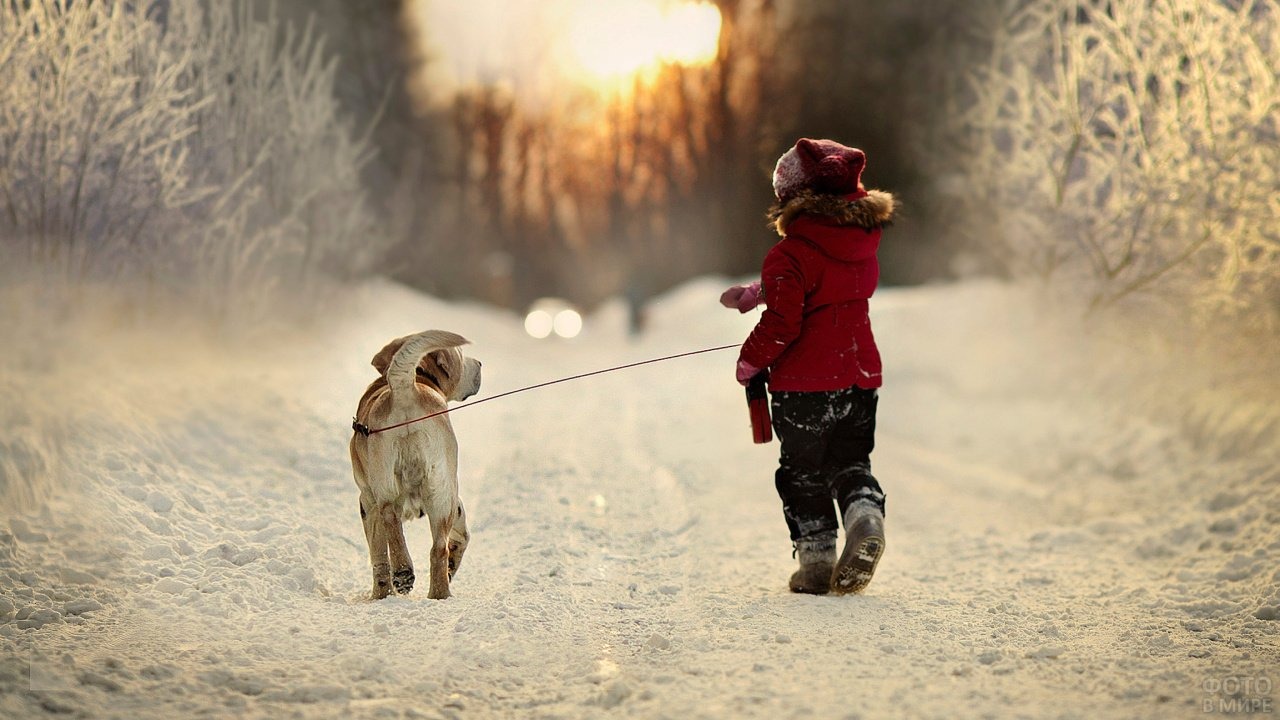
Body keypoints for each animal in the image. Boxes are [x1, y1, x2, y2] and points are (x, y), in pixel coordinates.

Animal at [350, 327, 481, 597]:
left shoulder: (366, 499)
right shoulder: (454, 499)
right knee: (437, 548)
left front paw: (380, 595)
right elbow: (462, 537)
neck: (421, 378)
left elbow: (378, 553)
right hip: (441, 492)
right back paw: (437, 593)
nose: (480, 363)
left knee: (390, 519)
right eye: (461, 357)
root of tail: (405, 388)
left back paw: (403, 573)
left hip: (393, 487)